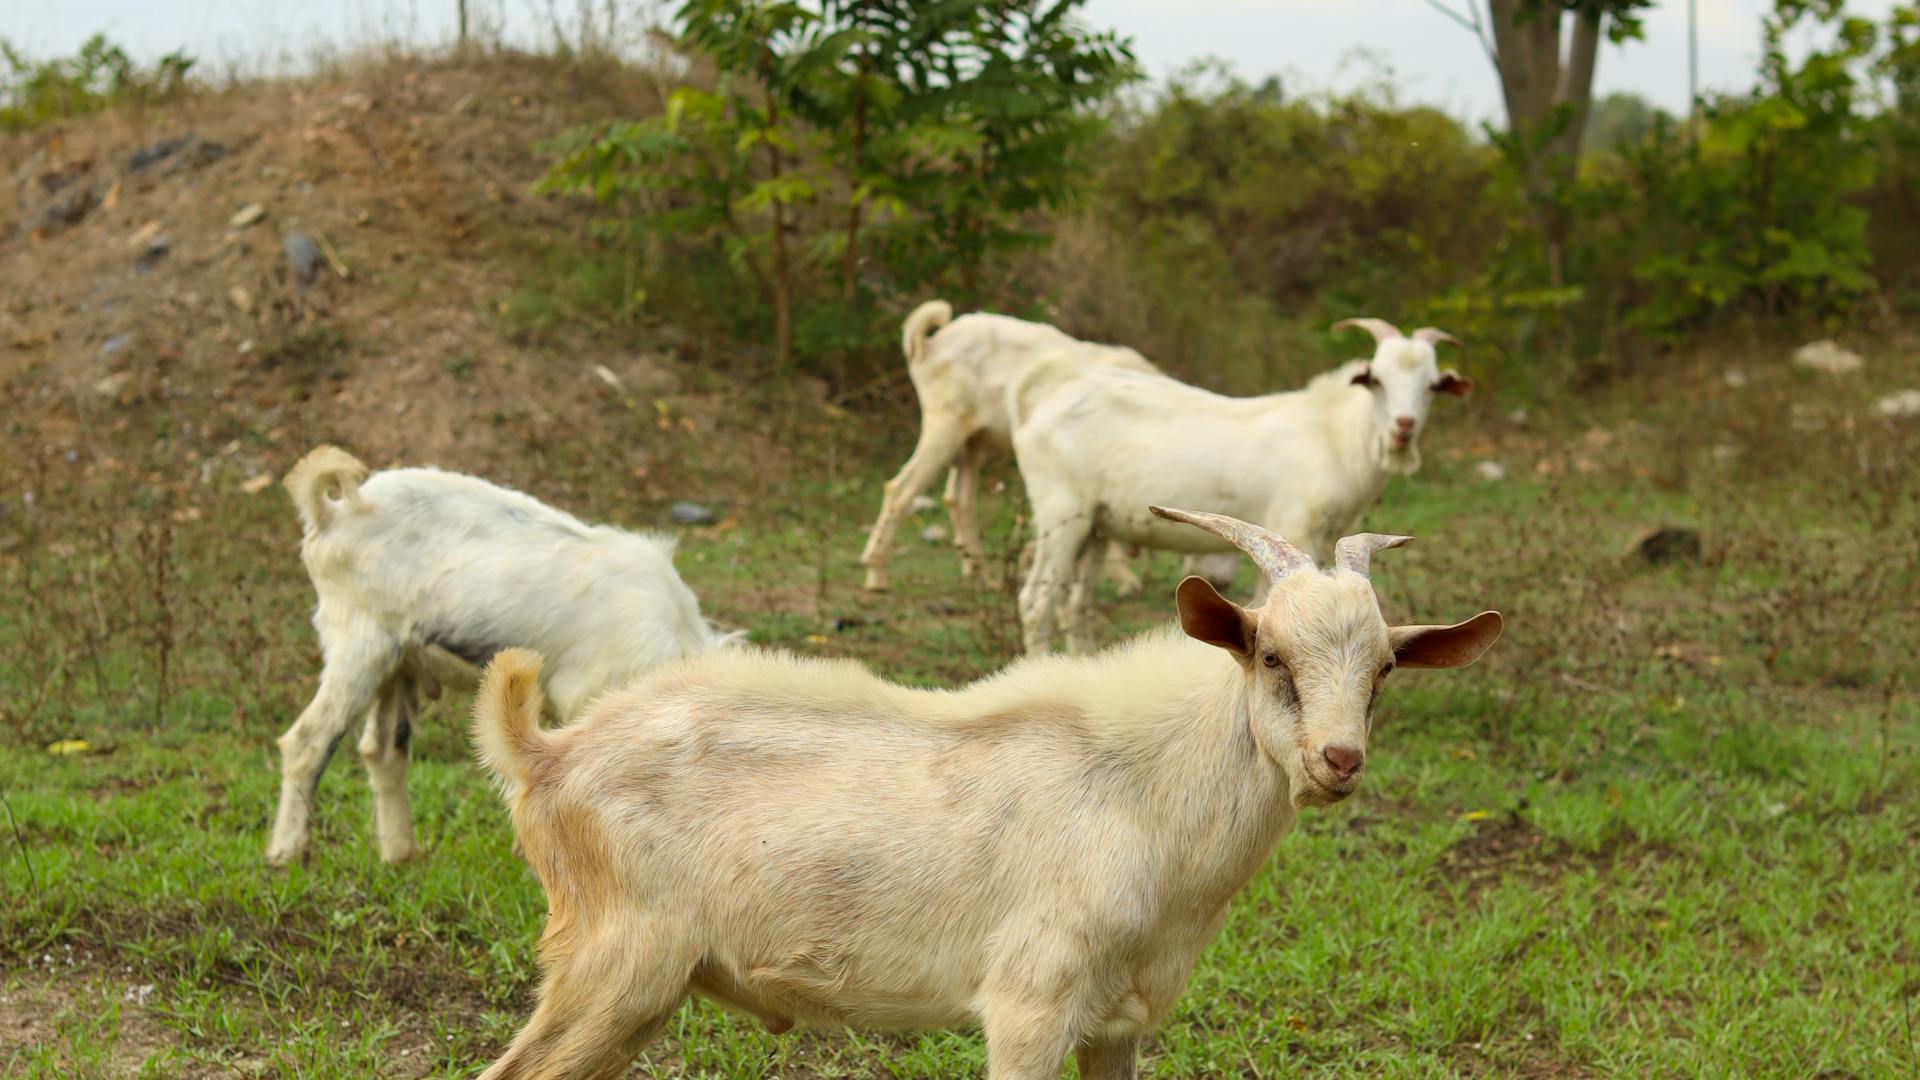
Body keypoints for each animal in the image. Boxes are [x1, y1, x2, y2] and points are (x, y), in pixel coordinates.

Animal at [265, 445, 735, 867]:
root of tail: (335, 511)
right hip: (360, 642)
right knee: (307, 741)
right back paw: (286, 855)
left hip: (400, 661)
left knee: (382, 749)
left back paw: (401, 855)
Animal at [469, 506, 1500, 1080]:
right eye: (1273, 656)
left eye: (1384, 671)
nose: (1339, 758)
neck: (1146, 799)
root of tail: (546, 753)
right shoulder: (1030, 1003)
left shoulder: (1116, 1023)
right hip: (615, 959)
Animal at [859, 300, 1237, 595]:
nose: (1222, 583)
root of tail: (931, 342)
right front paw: (1125, 580)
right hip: (944, 423)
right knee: (901, 489)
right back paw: (876, 573)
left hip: (972, 441)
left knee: (959, 499)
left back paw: (984, 578)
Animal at [1010, 318, 1473, 654]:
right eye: (1377, 380)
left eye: (1432, 386)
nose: (1403, 427)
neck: (1332, 434)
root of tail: (1042, 401)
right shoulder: (1294, 527)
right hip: (1061, 515)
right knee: (1035, 604)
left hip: (1097, 527)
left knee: (1074, 605)